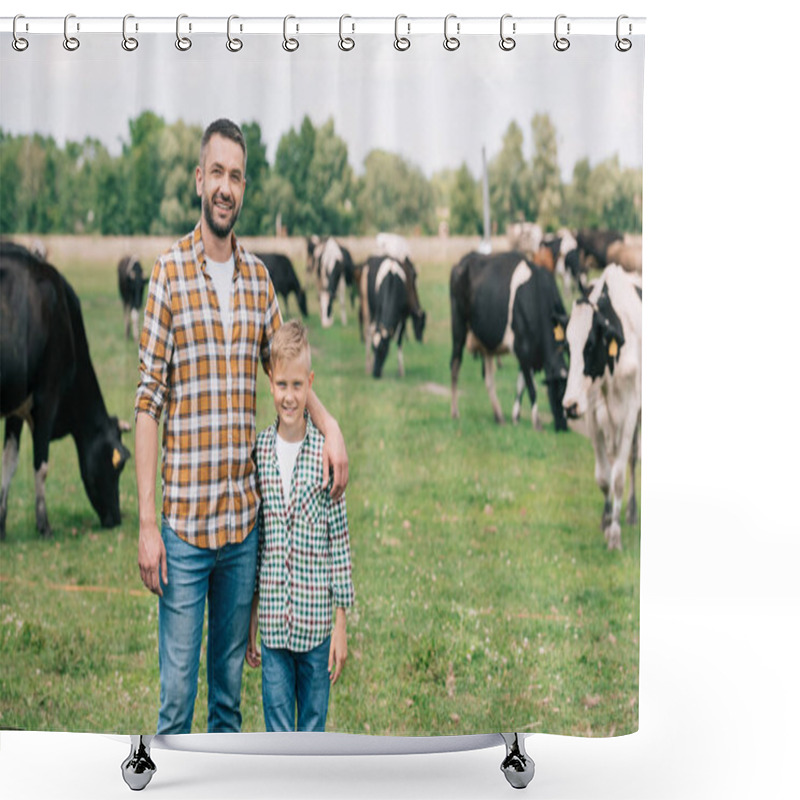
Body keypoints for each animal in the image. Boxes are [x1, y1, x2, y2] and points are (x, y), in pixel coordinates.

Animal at [1, 241, 131, 540]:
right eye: (118, 463)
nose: (116, 519)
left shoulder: (17, 406)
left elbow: (9, 463)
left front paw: (0, 525)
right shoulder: (47, 398)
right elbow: (41, 465)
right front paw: (44, 525)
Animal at [450, 252, 568, 432]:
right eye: (557, 393)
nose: (563, 426)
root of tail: (465, 259)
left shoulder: (528, 354)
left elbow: (521, 384)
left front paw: (515, 417)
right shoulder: (523, 348)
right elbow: (531, 387)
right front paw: (537, 423)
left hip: (486, 343)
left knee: (489, 379)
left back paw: (499, 416)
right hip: (459, 327)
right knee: (455, 365)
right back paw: (455, 412)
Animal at [564, 262, 644, 552]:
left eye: (590, 345)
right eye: (568, 346)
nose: (569, 405)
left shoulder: (630, 412)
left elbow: (618, 477)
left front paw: (615, 534)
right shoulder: (592, 414)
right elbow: (603, 476)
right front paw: (607, 519)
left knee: (632, 458)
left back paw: (630, 512)